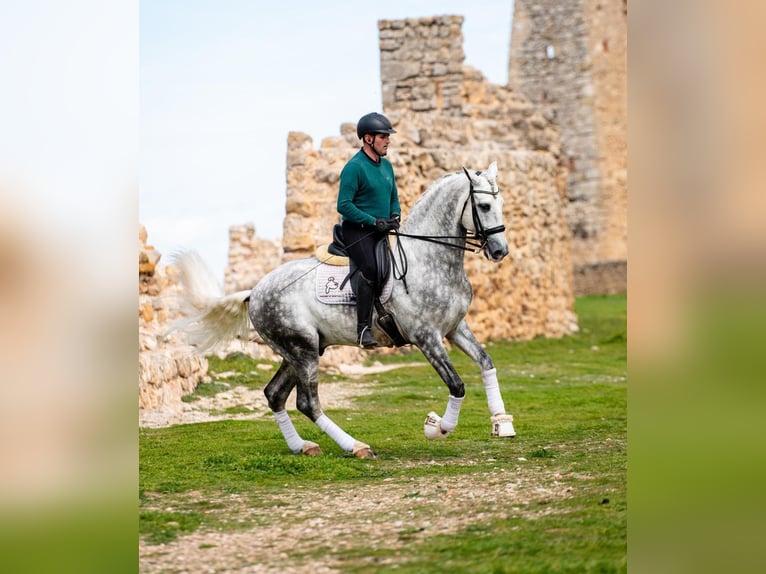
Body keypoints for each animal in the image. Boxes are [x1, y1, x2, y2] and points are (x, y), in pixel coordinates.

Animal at [171, 161, 516, 458]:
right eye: (484, 206)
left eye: (500, 204)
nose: (500, 251)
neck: (429, 258)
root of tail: (255, 291)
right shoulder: (426, 336)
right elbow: (456, 384)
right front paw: (437, 427)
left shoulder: (456, 328)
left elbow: (486, 362)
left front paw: (501, 422)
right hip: (303, 349)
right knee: (307, 402)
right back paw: (356, 446)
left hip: (300, 350)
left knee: (274, 394)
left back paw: (303, 446)